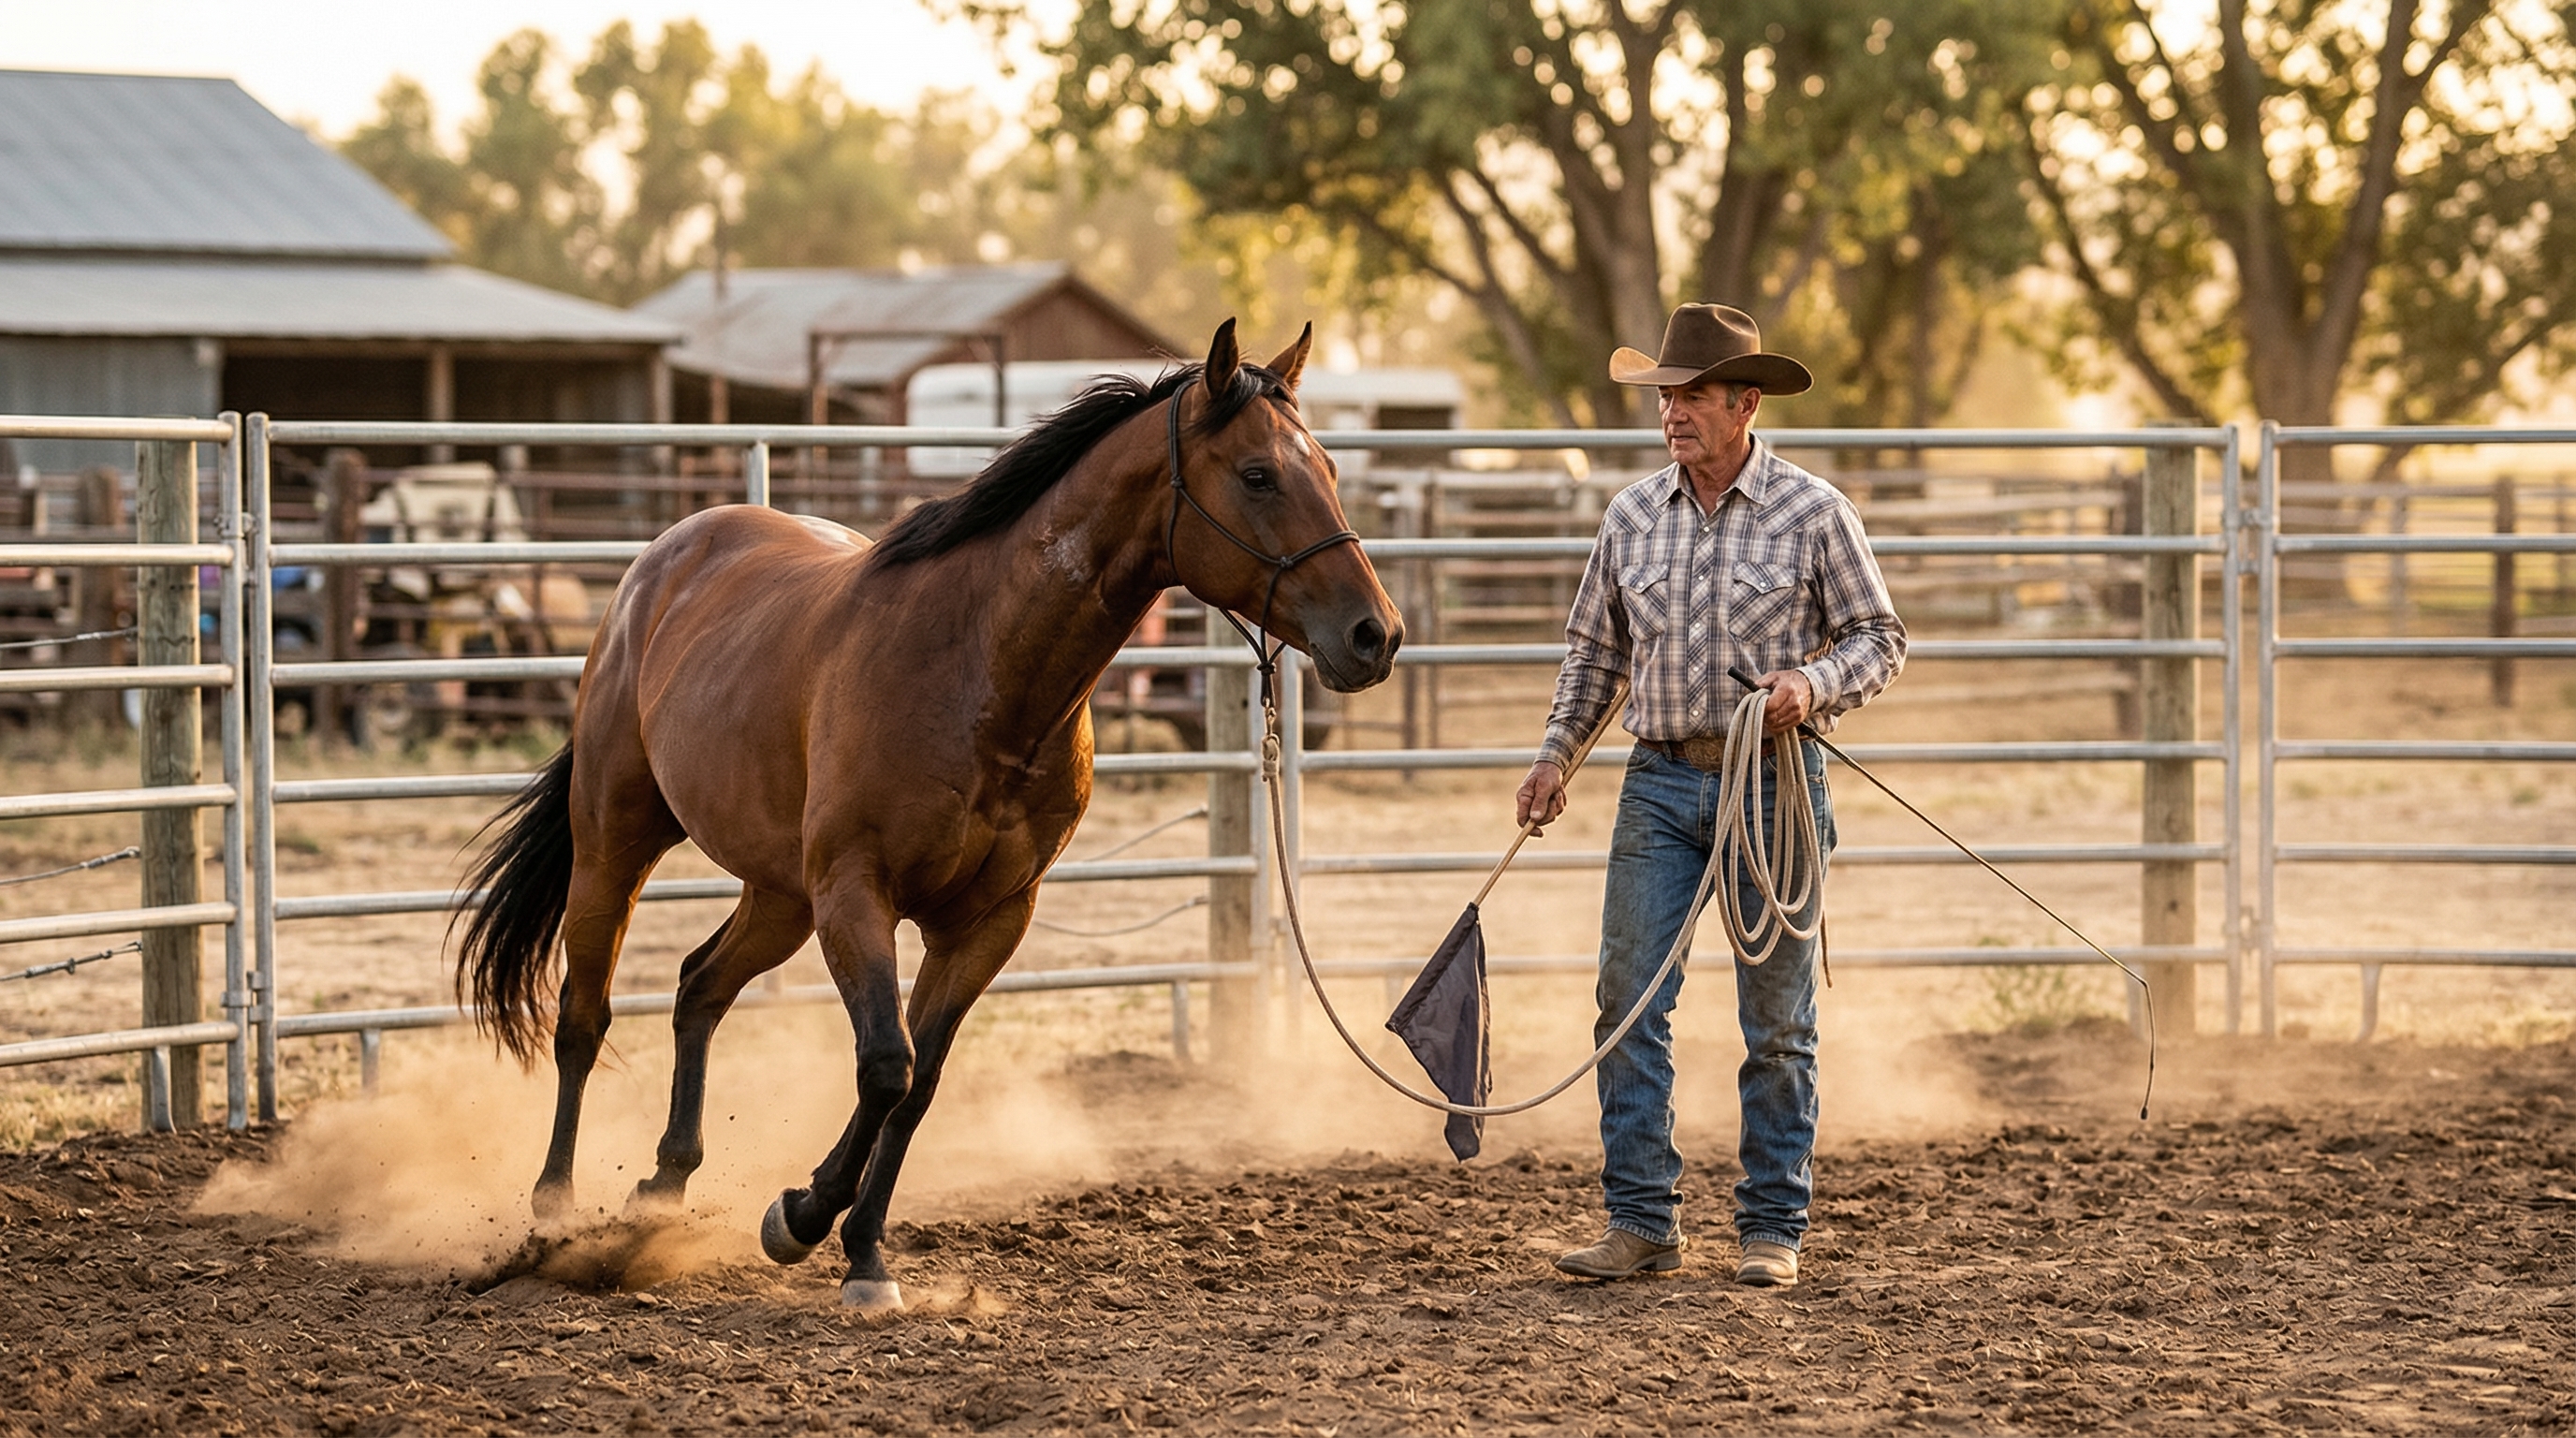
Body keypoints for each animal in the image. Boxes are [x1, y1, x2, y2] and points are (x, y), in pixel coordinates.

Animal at [452, 321, 1401, 1310]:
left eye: (1329, 467)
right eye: (1257, 475)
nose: (1376, 635)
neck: (979, 670)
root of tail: (663, 559)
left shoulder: (987, 920)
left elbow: (921, 1083)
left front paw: (865, 1253)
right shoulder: (856, 893)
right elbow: (886, 1063)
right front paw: (799, 1217)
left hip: (779, 896)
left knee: (699, 986)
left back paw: (663, 1189)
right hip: (617, 841)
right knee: (583, 1016)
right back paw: (556, 1214)